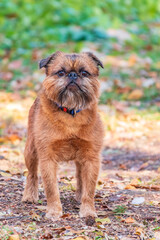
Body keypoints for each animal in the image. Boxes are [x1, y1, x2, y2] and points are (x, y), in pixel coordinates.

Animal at [21, 51, 104, 219]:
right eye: (60, 72)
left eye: (84, 73)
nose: (72, 74)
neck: (70, 112)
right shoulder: (47, 158)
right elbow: (51, 188)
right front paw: (54, 211)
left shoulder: (92, 158)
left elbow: (90, 188)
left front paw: (88, 210)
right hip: (31, 150)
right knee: (32, 174)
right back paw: (29, 195)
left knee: (80, 176)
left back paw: (79, 195)